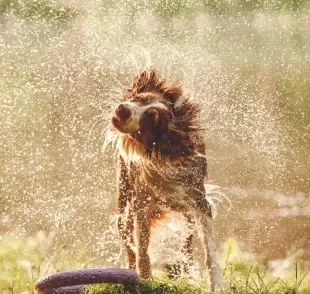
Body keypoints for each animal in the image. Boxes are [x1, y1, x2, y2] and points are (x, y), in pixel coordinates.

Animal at [104, 68, 225, 290]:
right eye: (139, 98)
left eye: (150, 119)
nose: (123, 109)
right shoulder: (141, 205)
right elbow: (142, 250)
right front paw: (144, 279)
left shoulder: (198, 200)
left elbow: (209, 249)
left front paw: (217, 283)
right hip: (124, 202)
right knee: (129, 241)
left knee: (186, 246)